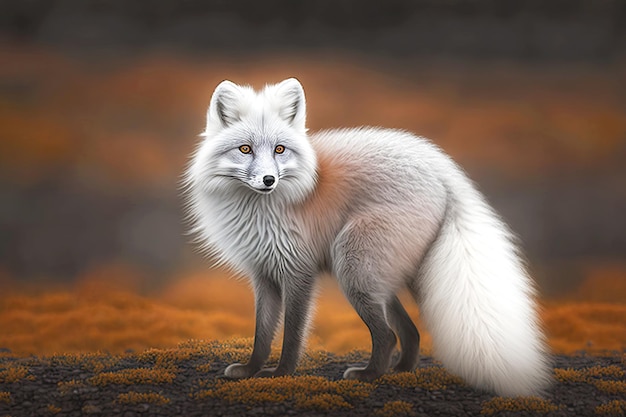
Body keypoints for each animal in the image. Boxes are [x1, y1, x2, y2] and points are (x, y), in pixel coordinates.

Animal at [183, 78, 548, 396]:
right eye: (245, 149)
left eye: (280, 149)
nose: (269, 180)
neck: (262, 210)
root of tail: (442, 169)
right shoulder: (264, 274)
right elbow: (261, 333)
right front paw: (251, 370)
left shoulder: (298, 272)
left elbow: (291, 335)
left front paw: (281, 374)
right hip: (393, 277)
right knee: (410, 332)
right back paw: (399, 371)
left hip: (354, 268)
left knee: (388, 335)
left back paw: (370, 375)